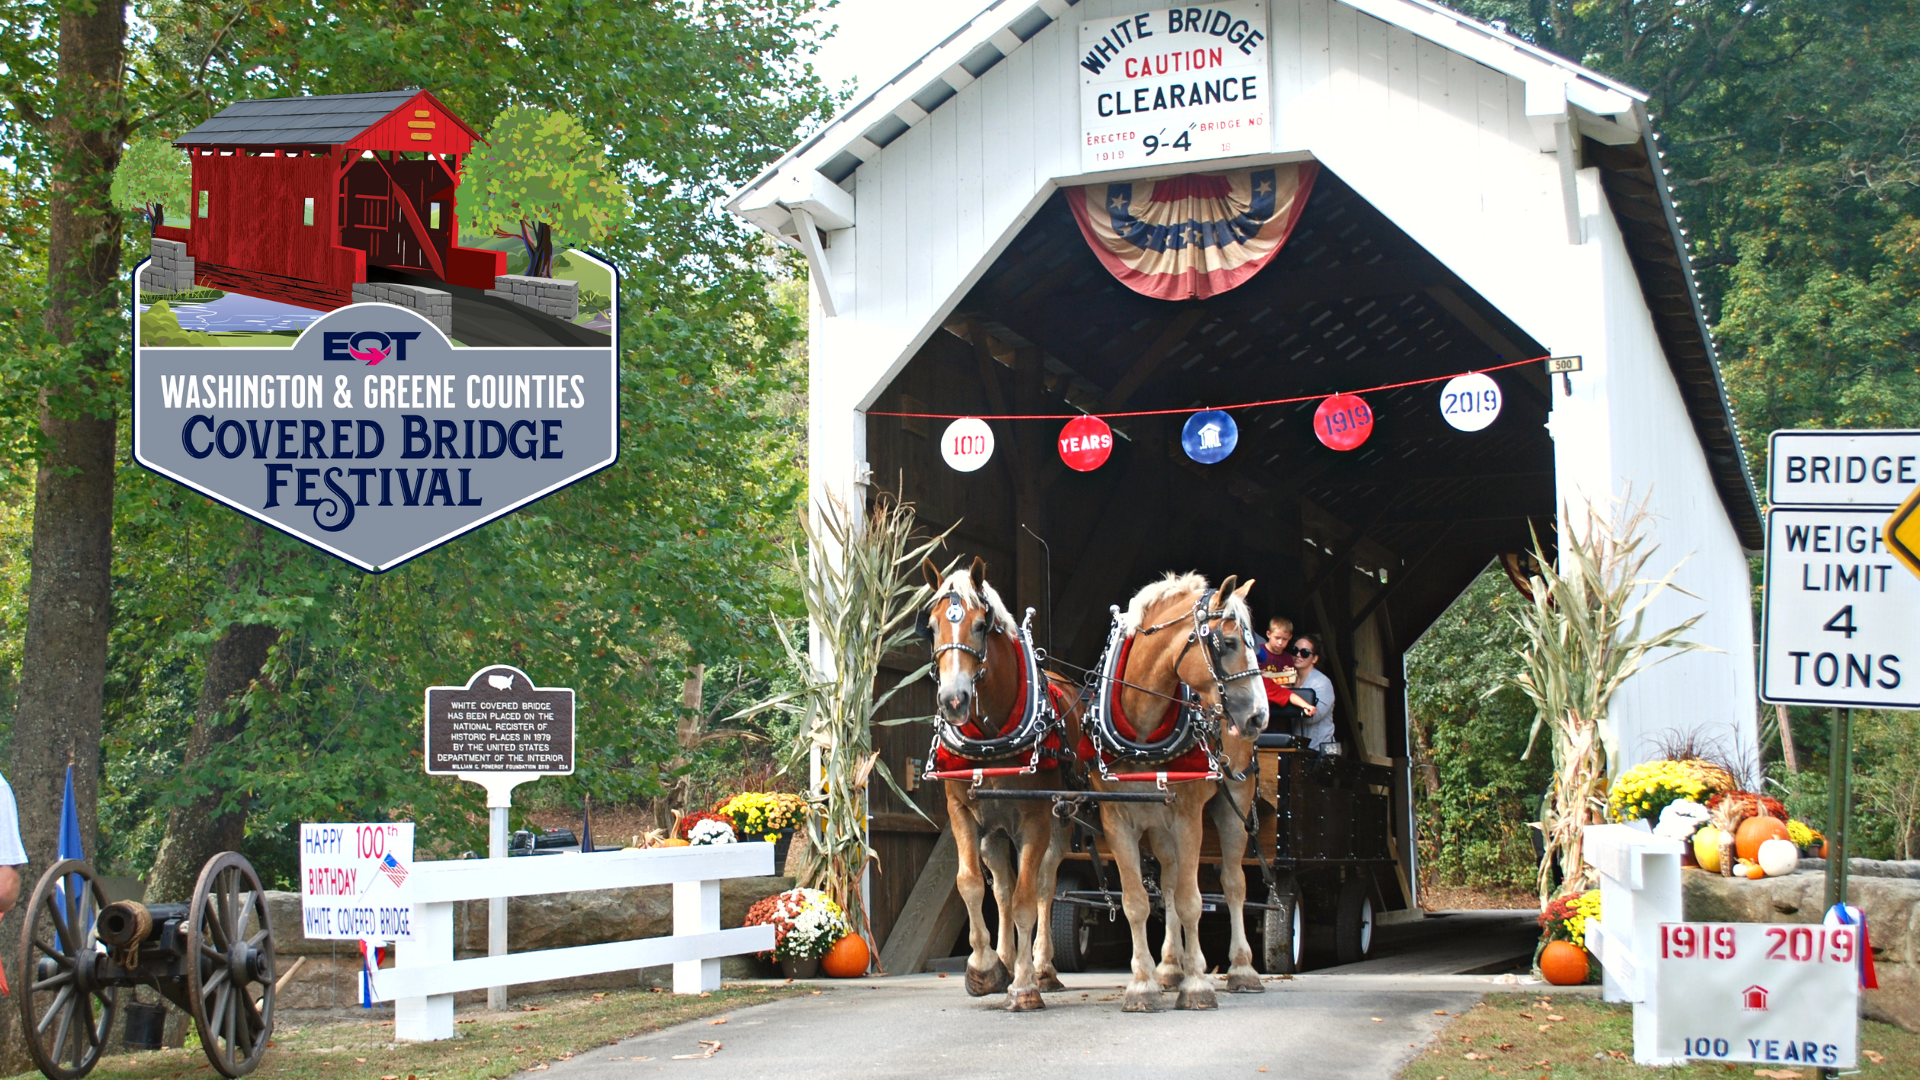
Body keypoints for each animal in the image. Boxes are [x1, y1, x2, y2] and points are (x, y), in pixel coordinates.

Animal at [921, 553, 1090, 1006]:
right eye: (932, 626)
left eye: (981, 625)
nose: (953, 701)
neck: (991, 737)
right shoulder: (962, 812)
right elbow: (971, 885)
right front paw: (984, 968)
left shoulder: (1035, 820)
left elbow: (1028, 898)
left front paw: (1026, 984)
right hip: (995, 831)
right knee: (1000, 885)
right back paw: (1006, 958)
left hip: (1059, 820)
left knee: (1045, 884)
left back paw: (1042, 967)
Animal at [1090, 572, 1267, 1006]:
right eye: (1229, 643)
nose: (1260, 715)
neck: (1142, 730)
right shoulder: (1117, 818)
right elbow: (1137, 901)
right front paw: (1142, 984)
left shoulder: (1187, 816)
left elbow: (1192, 900)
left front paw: (1198, 982)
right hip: (1157, 823)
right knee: (1168, 881)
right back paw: (1170, 966)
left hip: (1234, 802)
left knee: (1233, 883)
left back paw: (1241, 969)